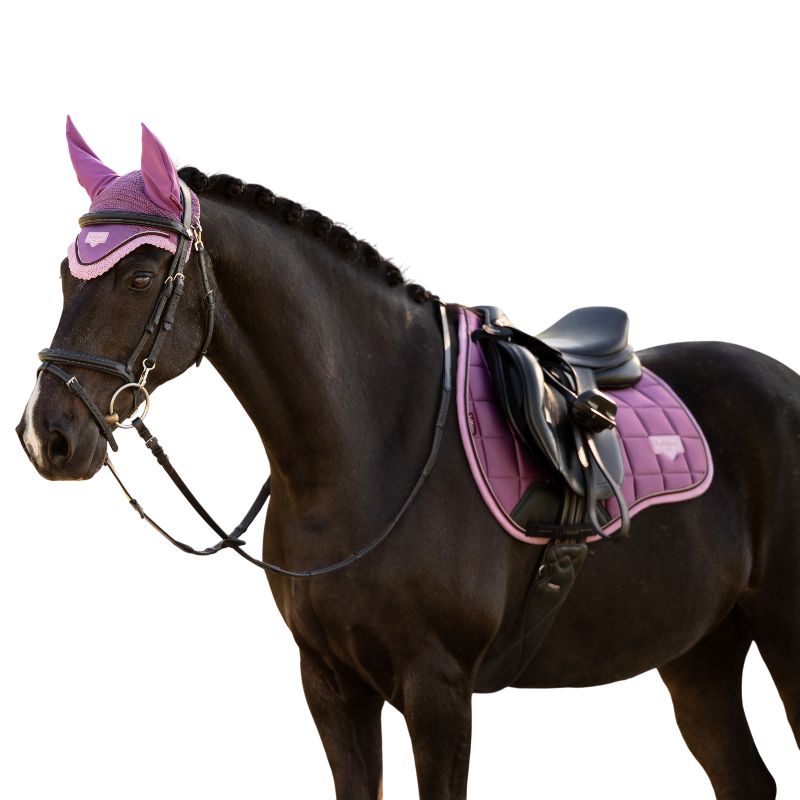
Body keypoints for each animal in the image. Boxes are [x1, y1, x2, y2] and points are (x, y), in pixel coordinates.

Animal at [17, 133, 799, 799]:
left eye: (142, 275)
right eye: (64, 273)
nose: (46, 436)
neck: (368, 446)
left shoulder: (438, 689)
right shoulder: (331, 686)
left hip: (780, 636)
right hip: (699, 653)